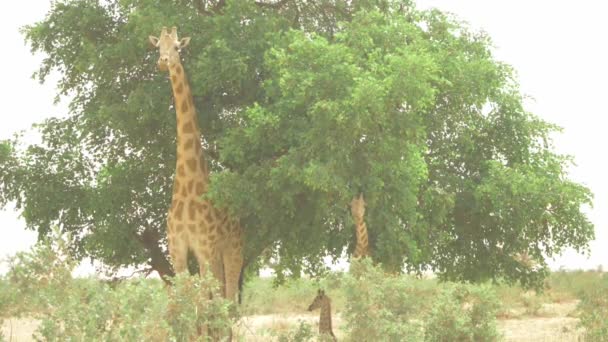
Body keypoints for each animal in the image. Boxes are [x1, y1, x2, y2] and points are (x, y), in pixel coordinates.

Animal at [150, 27, 245, 304]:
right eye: (157, 47)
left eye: (177, 47)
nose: (163, 62)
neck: (186, 187)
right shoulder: (176, 248)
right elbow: (185, 297)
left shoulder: (204, 246)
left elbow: (203, 299)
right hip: (217, 253)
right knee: (223, 293)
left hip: (233, 249)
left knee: (230, 297)